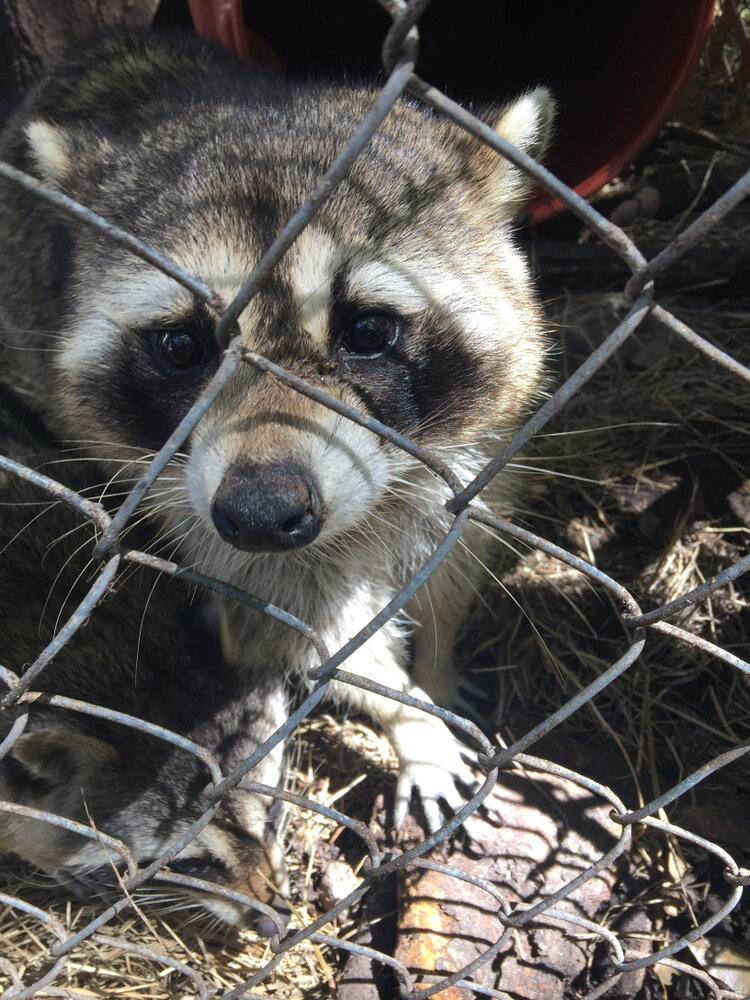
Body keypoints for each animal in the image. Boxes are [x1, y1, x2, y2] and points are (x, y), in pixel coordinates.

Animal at [0, 34, 553, 832]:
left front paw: (437, 663)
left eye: (368, 331)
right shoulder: (200, 520)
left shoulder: (474, 460)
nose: (261, 514)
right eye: (181, 346)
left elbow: (453, 565)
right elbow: (311, 635)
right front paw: (411, 720)